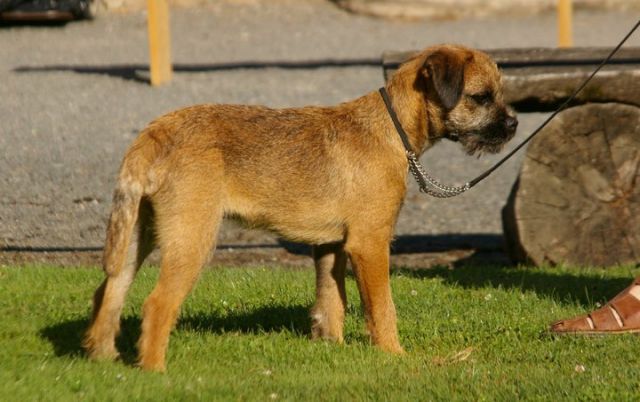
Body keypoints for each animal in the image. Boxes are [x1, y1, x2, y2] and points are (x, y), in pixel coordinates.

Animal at [82, 43, 516, 370]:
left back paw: (103, 359)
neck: (388, 129)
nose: (513, 125)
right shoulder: (370, 245)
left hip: (139, 232)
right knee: (157, 304)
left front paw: (333, 349)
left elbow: (332, 302)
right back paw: (154, 371)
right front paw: (394, 355)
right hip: (193, 238)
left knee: (110, 290)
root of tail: (156, 131)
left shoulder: (330, 246)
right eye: (480, 97)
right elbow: (382, 307)